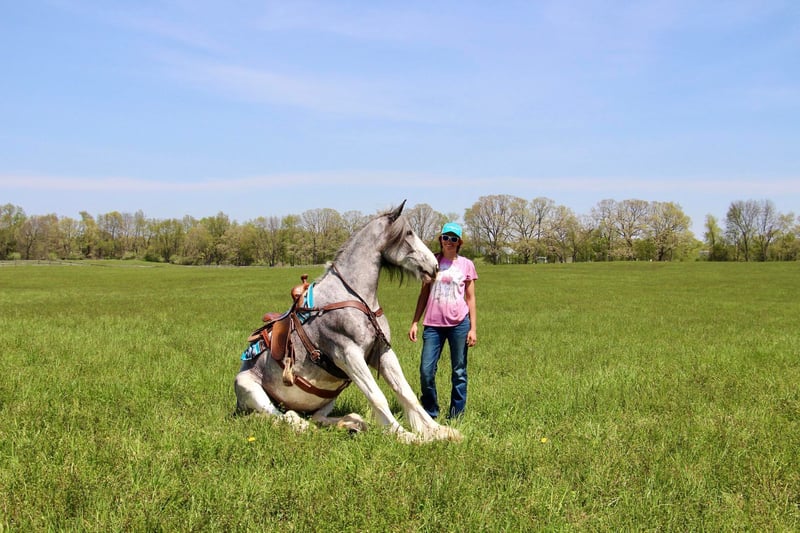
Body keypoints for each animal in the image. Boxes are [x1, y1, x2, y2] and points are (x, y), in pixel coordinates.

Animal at [231, 202, 462, 442]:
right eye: (408, 233)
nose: (434, 266)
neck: (355, 296)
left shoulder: (382, 351)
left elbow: (406, 392)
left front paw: (439, 431)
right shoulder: (348, 354)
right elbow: (378, 396)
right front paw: (406, 435)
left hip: (326, 400)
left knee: (317, 418)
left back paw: (354, 423)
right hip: (250, 389)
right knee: (285, 417)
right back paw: (312, 425)